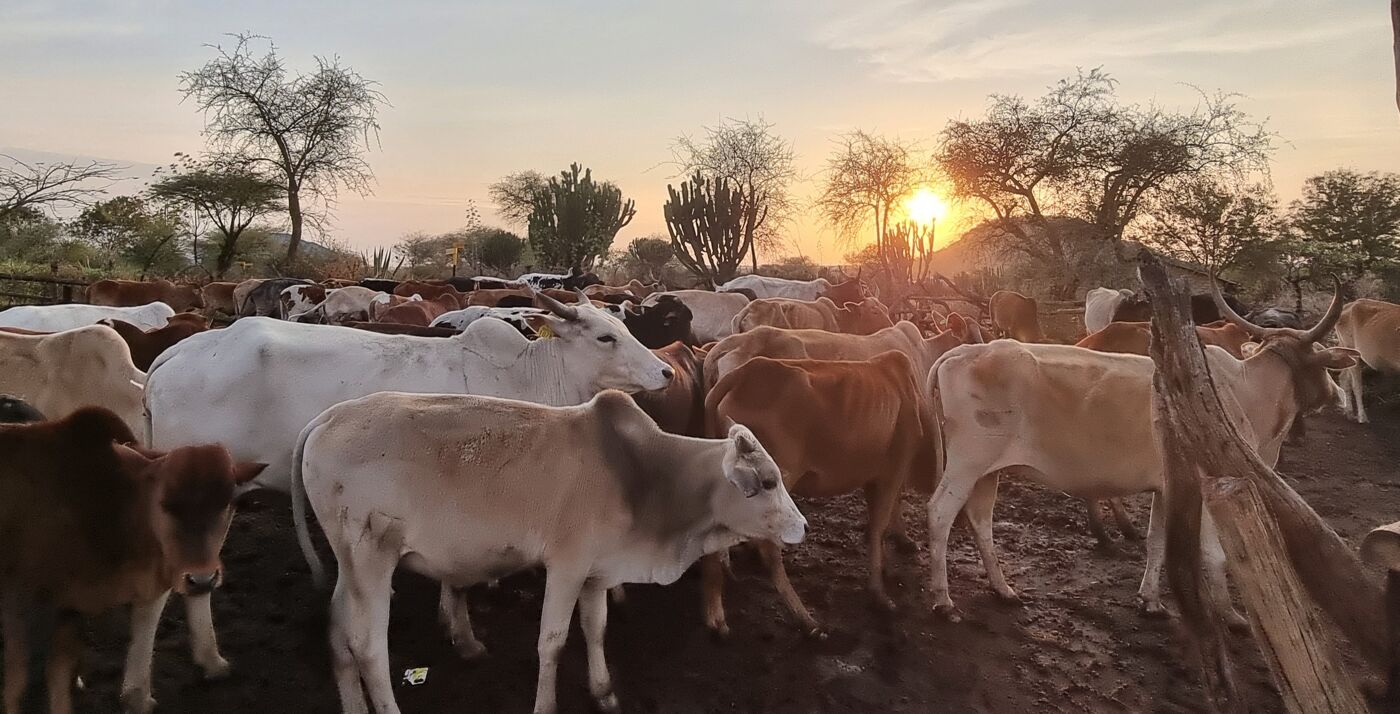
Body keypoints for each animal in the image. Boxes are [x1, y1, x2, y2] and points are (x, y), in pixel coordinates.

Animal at [0, 407, 264, 714]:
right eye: (165, 504)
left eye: (226, 504)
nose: (202, 580)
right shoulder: (25, 606)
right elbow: (22, 686)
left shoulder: (70, 613)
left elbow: (60, 681)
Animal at [291, 389, 804, 714]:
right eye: (767, 482)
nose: (801, 526)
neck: (644, 475)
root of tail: (325, 419)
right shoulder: (566, 567)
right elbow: (552, 642)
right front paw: (546, 704)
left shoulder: (596, 573)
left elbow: (596, 630)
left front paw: (604, 692)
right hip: (373, 558)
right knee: (368, 647)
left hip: (350, 565)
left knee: (337, 632)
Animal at [702, 351, 930, 637]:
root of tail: (745, 373)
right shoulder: (893, 470)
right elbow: (879, 526)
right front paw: (879, 594)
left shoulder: (873, 476)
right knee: (769, 549)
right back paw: (806, 619)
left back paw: (716, 617)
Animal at [923, 283, 1357, 620]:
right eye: (1323, 361)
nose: (1336, 394)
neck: (1246, 389)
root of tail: (961, 352)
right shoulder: (1213, 487)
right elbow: (1215, 555)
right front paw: (1230, 615)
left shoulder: (1168, 487)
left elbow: (1156, 542)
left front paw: (1150, 599)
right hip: (967, 463)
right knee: (940, 512)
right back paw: (944, 601)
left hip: (987, 471)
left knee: (980, 520)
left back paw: (1004, 590)